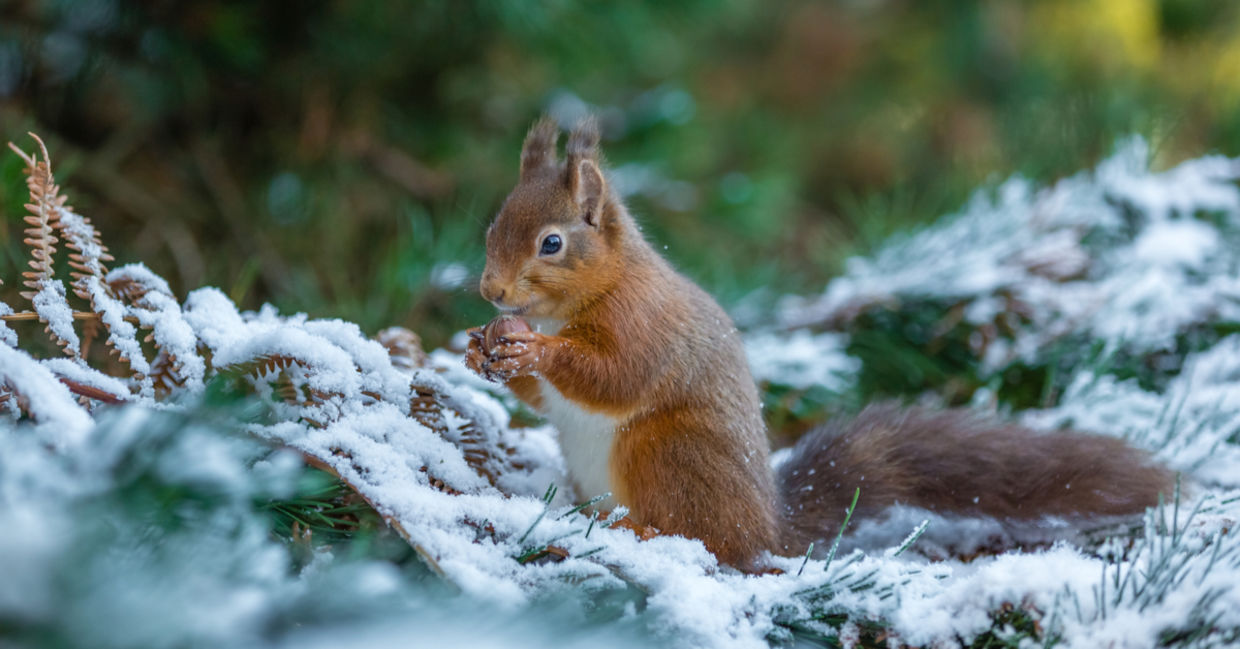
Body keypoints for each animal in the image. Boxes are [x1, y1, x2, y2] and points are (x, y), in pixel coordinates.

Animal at [463, 116, 1174, 571]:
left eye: (552, 243)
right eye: (494, 223)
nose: (490, 291)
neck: (583, 299)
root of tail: (768, 526)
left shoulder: (643, 326)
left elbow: (615, 378)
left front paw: (536, 352)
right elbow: (542, 397)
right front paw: (479, 349)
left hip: (665, 450)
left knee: (707, 541)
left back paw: (637, 528)